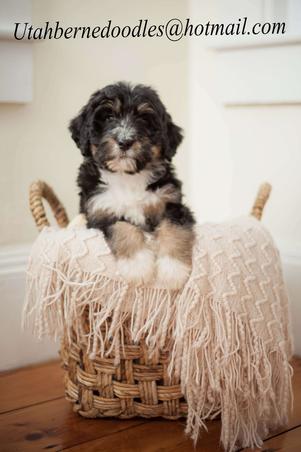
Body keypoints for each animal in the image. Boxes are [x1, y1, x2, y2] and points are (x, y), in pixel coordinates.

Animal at [68, 82, 195, 290]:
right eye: (108, 117)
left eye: (144, 119)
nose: (125, 141)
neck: (126, 176)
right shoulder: (101, 210)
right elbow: (124, 228)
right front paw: (137, 266)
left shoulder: (171, 203)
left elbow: (173, 230)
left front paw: (172, 271)